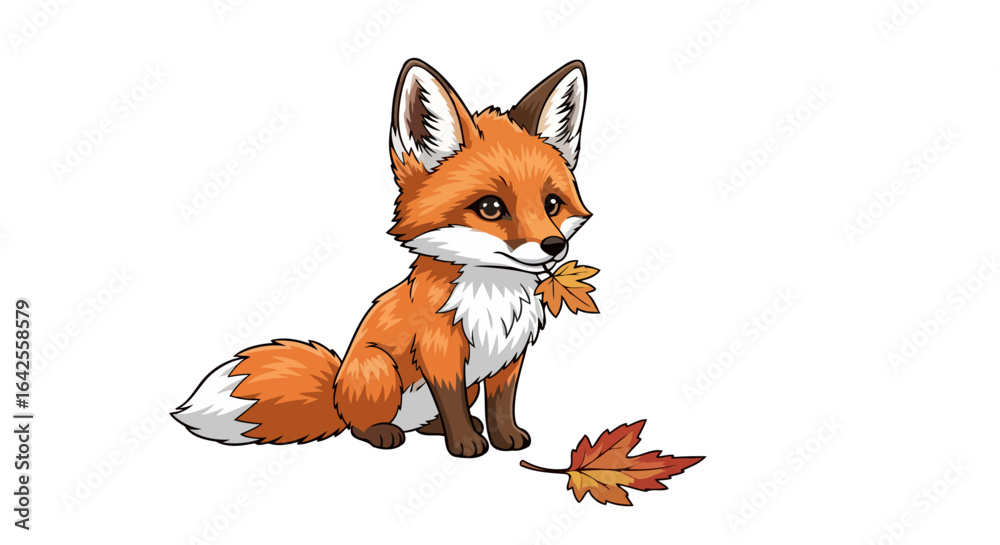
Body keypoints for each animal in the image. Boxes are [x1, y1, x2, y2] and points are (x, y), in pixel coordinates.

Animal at [173, 59, 592, 457]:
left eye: (551, 204)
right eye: (491, 208)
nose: (554, 245)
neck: (492, 298)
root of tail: (336, 391)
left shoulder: (510, 358)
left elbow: (501, 406)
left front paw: (506, 438)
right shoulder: (440, 353)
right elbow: (453, 406)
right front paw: (465, 445)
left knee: (428, 421)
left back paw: (435, 428)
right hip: (378, 368)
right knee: (360, 426)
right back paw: (385, 433)